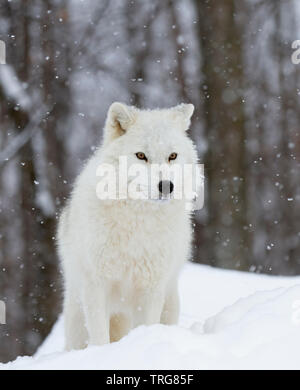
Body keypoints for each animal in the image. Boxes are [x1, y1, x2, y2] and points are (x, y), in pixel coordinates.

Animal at [58, 101, 199, 350]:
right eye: (141, 155)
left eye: (172, 156)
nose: (166, 185)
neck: (137, 222)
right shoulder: (96, 287)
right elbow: (100, 338)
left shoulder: (151, 290)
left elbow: (147, 326)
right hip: (77, 317)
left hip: (168, 302)